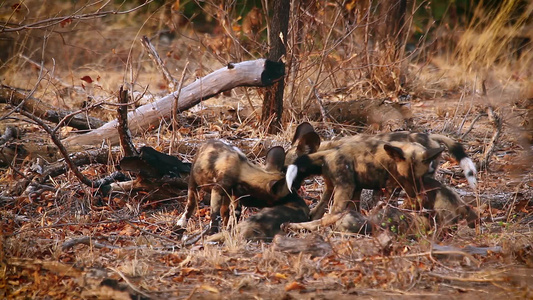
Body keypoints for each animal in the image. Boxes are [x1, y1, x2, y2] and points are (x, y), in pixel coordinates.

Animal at [284, 136, 442, 218]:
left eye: (420, 178)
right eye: (404, 177)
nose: (413, 194)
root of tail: (331, 152)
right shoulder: (392, 187)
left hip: (339, 190)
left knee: (319, 212)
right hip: (346, 189)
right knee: (333, 212)